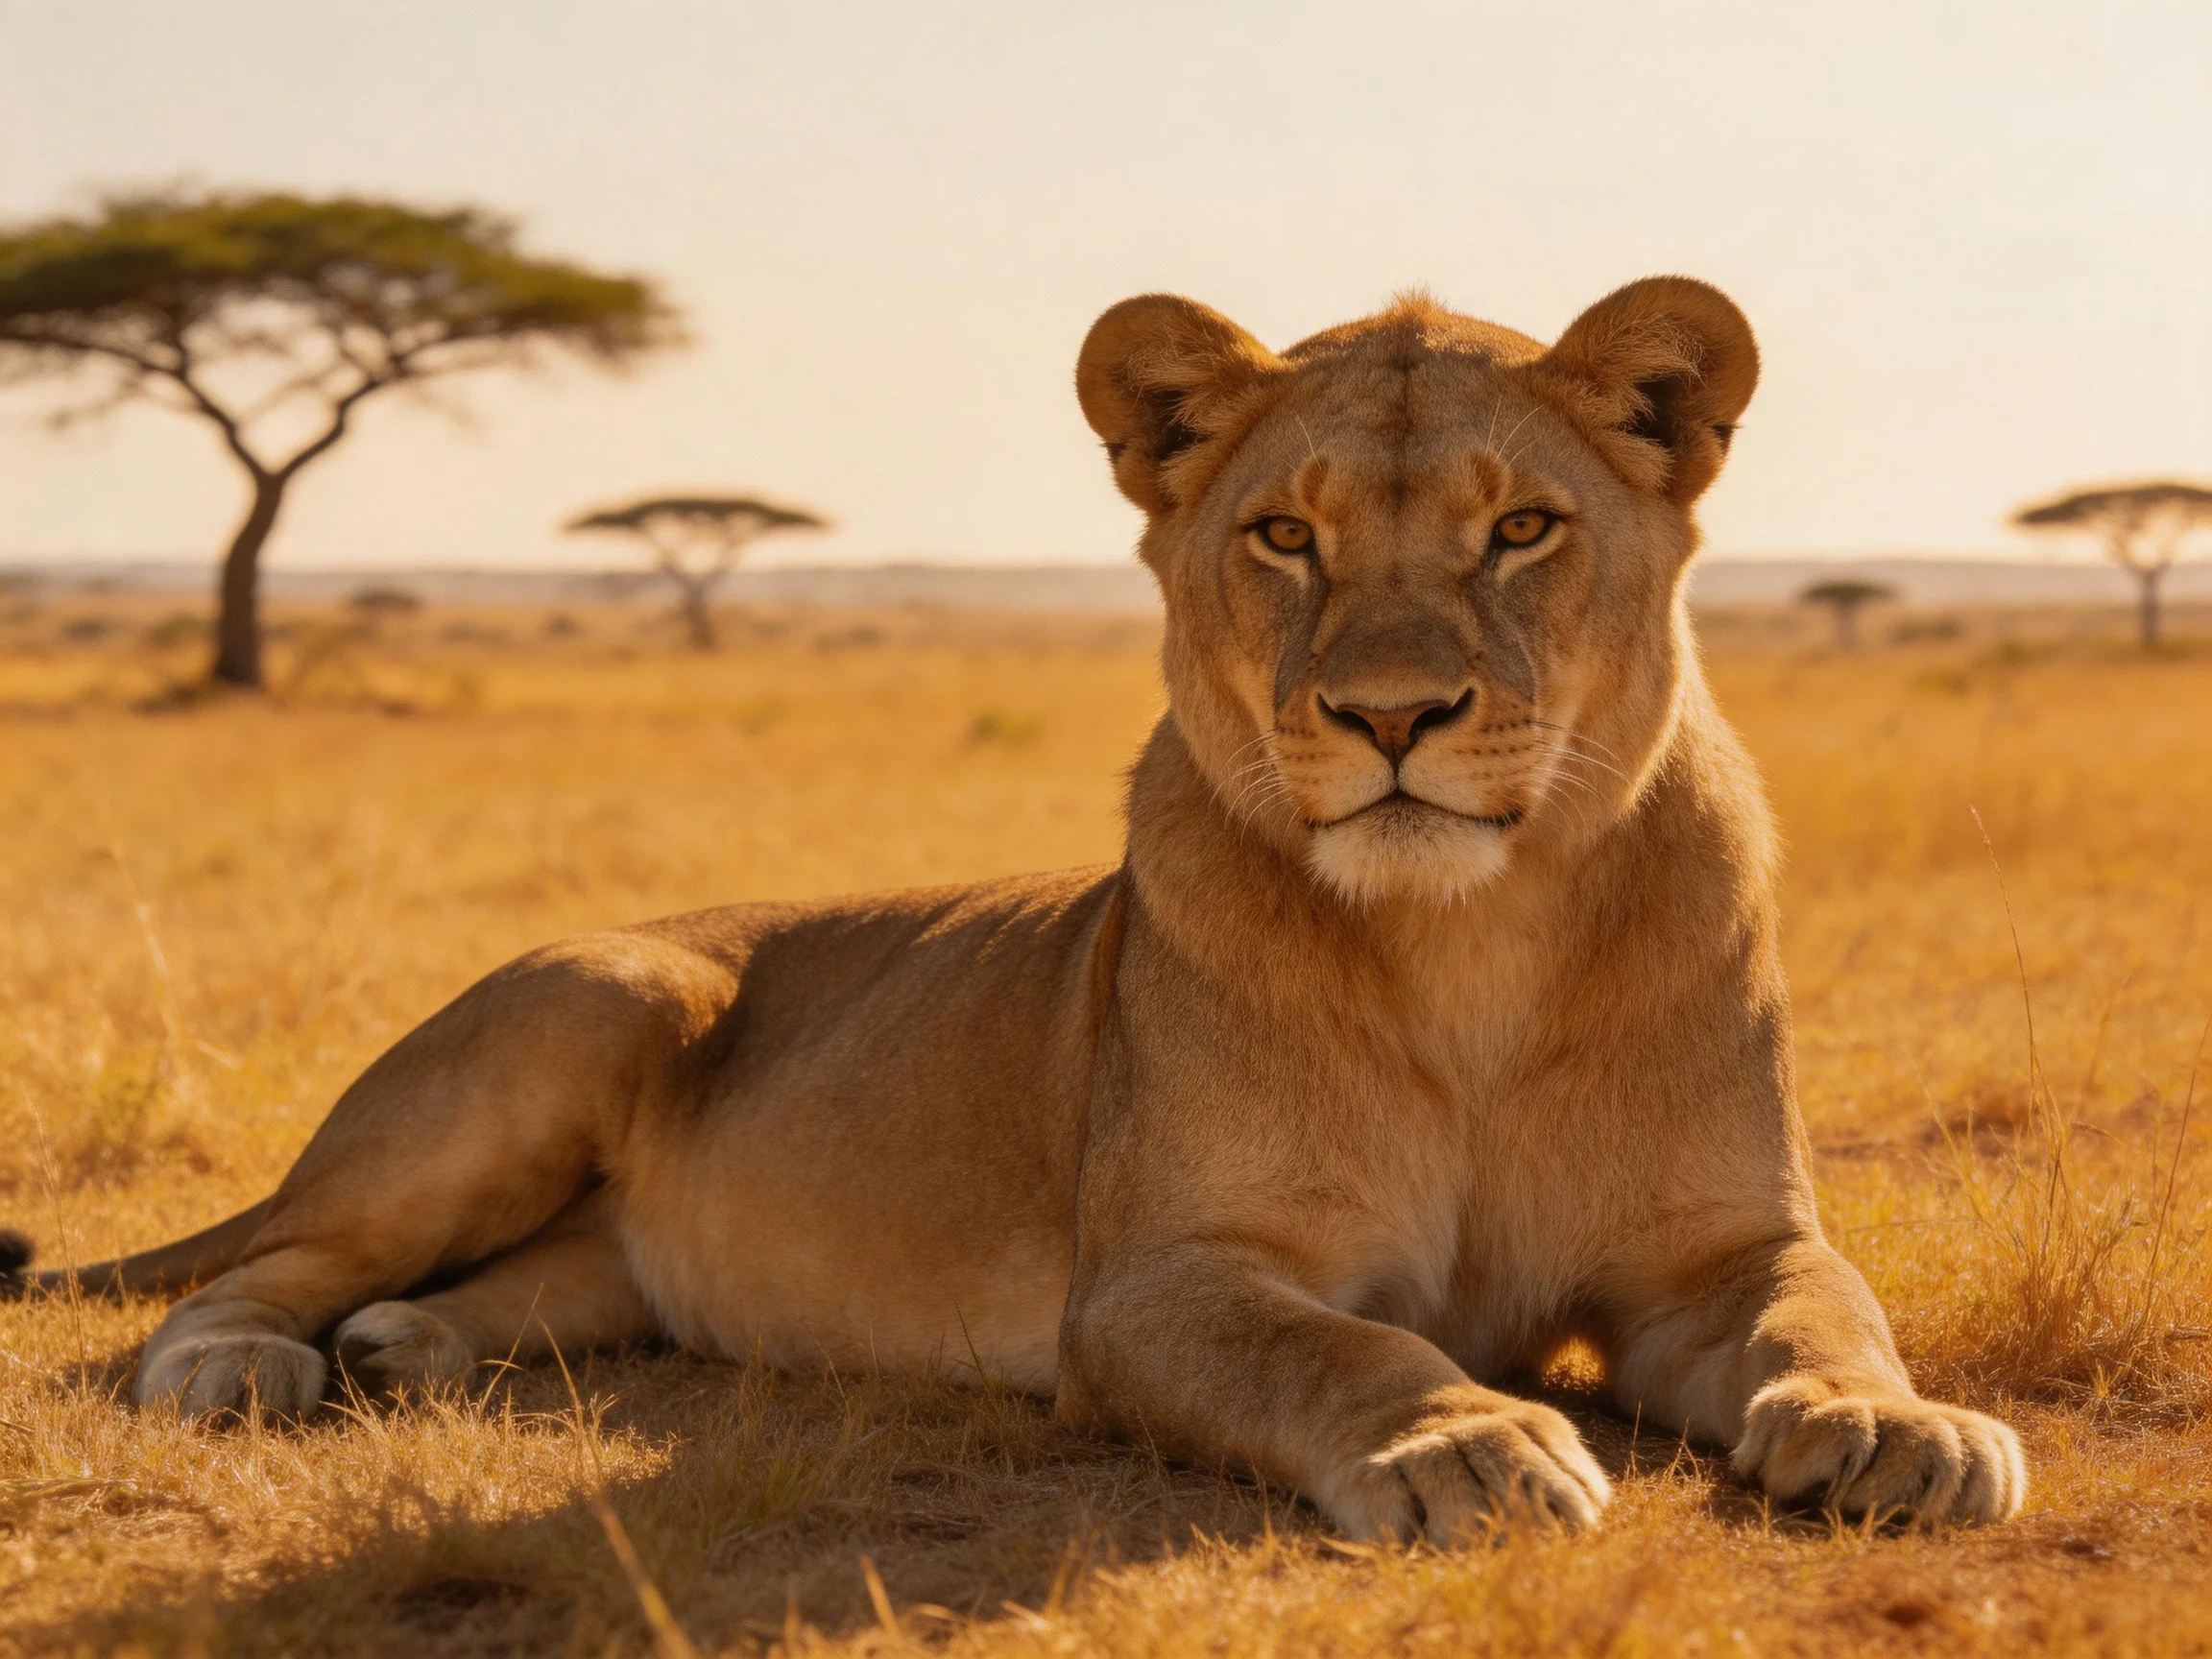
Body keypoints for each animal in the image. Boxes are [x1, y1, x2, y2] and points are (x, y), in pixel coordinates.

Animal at [1, 276, 2026, 1538]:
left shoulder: (1717, 1247)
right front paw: (1468, 1440)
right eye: (1281, 535)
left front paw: (1899, 1426)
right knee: (252, 1267)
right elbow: (1342, 1342)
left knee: (515, 1289)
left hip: (600, 1234)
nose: (1390, 715)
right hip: (582, 1014)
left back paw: (404, 1349)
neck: (1471, 942)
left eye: (1519, 527)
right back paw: (251, 1362)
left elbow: (1823, 1308)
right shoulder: (1149, 1285)